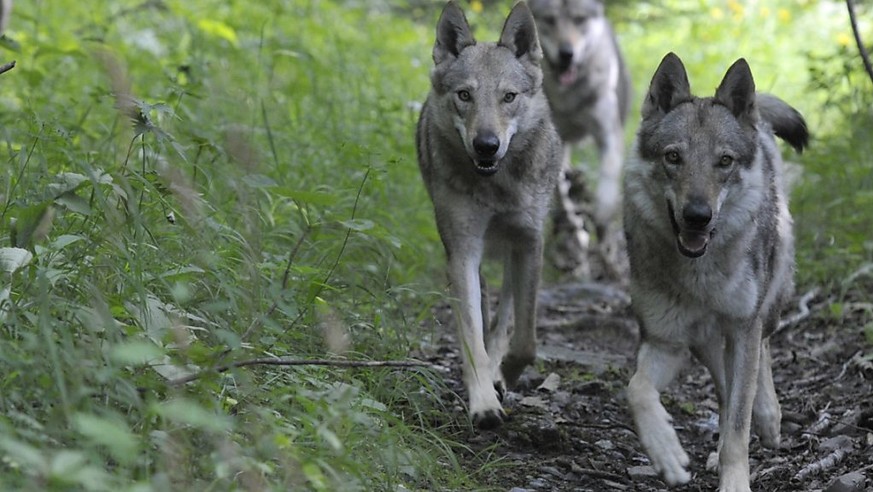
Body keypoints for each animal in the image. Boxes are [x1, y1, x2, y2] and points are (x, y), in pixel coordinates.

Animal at [416, 1, 562, 429]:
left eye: (509, 97)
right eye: (465, 95)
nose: (486, 145)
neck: (497, 186)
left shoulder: (530, 242)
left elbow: (525, 341)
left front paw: (505, 374)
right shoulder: (463, 250)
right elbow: (472, 338)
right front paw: (482, 402)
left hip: (514, 254)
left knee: (505, 319)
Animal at [529, 0, 632, 273]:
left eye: (579, 20)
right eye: (550, 20)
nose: (567, 53)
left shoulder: (609, 135)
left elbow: (607, 181)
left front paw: (603, 209)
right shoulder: (555, 141)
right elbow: (561, 192)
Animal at [623, 52, 808, 491]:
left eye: (724, 161)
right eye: (673, 157)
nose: (697, 216)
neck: (699, 275)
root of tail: (759, 127)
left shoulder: (743, 328)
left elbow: (740, 423)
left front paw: (735, 480)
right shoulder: (666, 341)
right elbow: (637, 390)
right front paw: (667, 454)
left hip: (764, 309)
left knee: (761, 357)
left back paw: (769, 419)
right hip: (704, 343)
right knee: (724, 390)